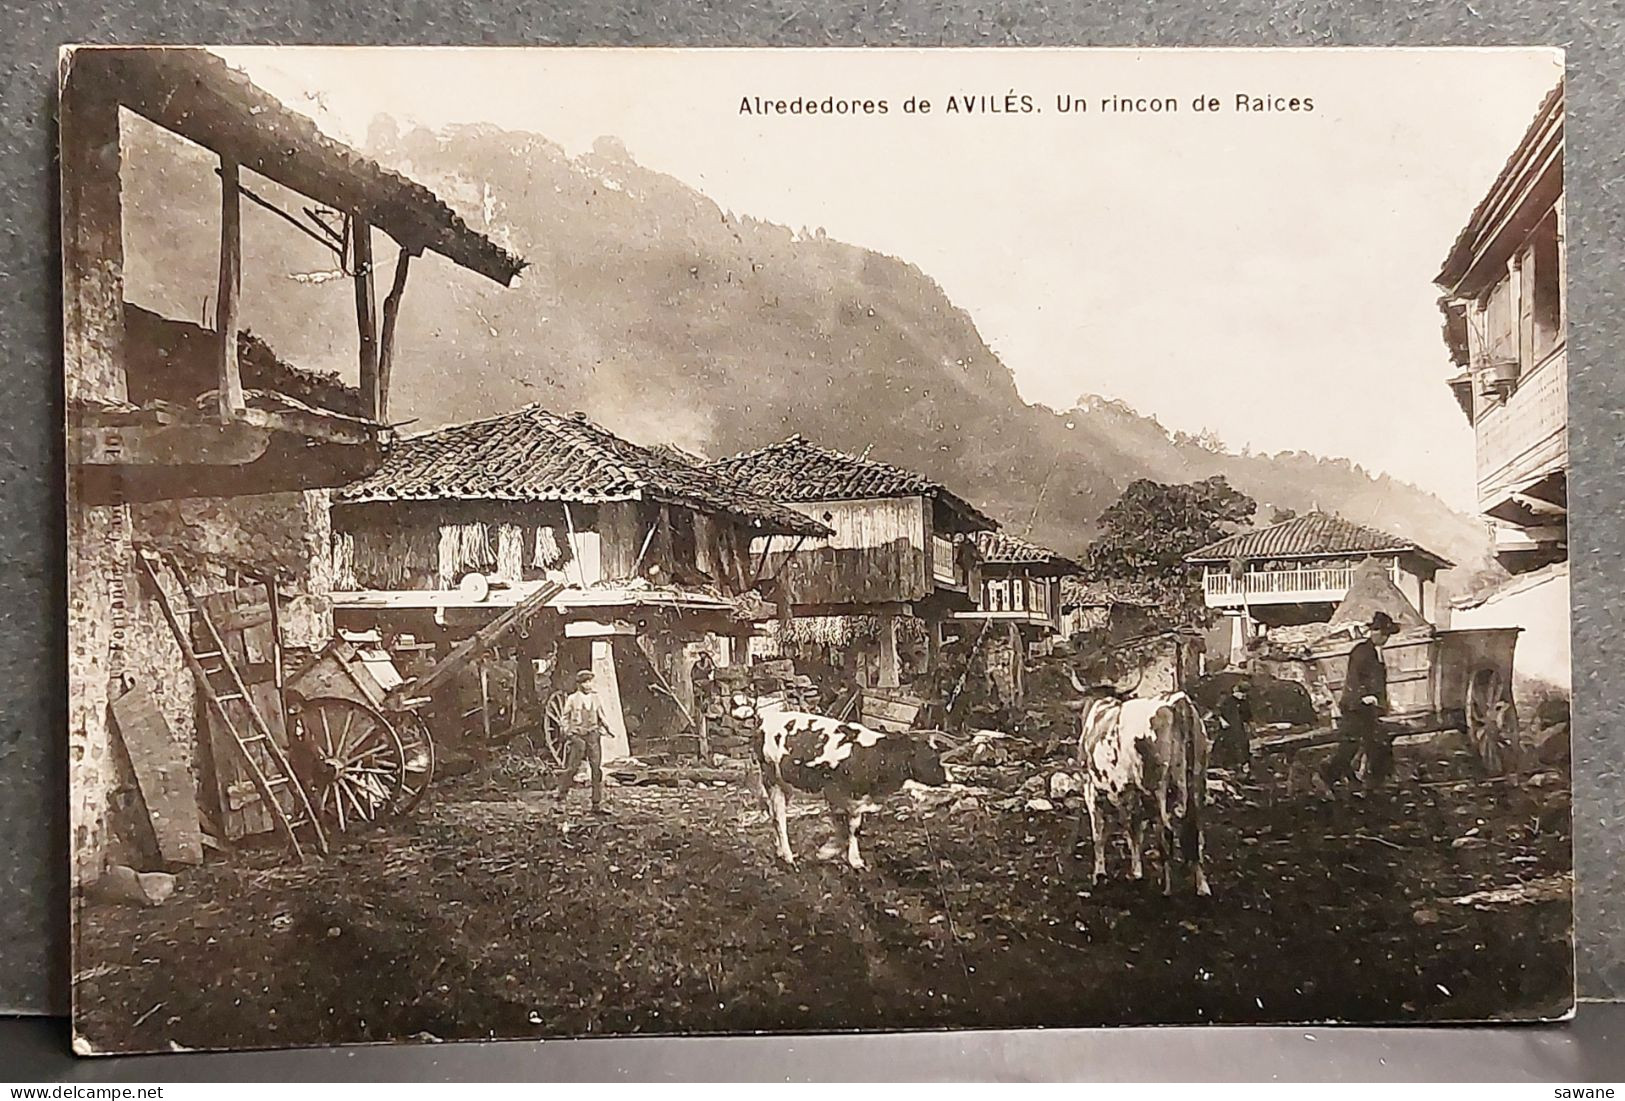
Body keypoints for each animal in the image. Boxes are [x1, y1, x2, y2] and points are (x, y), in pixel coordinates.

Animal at [741, 698, 949, 870]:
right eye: (929, 758)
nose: (947, 777)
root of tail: (765, 717)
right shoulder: (837, 794)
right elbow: (846, 827)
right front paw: (834, 852)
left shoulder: (854, 801)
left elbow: (851, 828)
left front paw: (845, 855)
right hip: (771, 780)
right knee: (779, 818)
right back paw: (788, 856)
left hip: (785, 783)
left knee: (773, 815)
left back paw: (779, 850)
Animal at [1072, 688, 1215, 896]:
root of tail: (1178, 704)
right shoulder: (1131, 794)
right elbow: (1134, 831)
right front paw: (1136, 872)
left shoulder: (1092, 787)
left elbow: (1100, 832)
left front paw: (1099, 875)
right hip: (1197, 782)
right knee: (1195, 831)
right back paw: (1202, 887)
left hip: (1157, 790)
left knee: (1167, 833)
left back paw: (1166, 889)